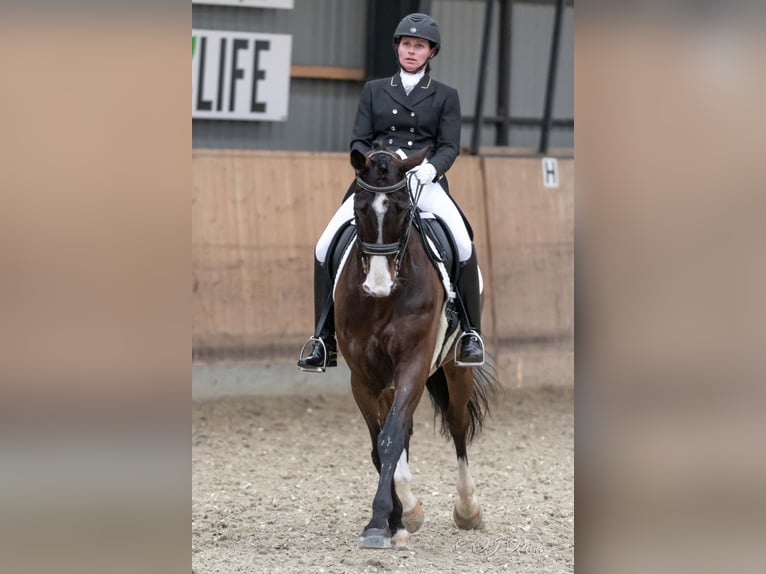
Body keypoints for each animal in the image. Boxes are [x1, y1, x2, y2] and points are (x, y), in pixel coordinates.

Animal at [336, 146, 498, 552]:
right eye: (360, 207)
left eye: (402, 208)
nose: (378, 285)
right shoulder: (363, 377)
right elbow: (381, 445)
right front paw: (394, 519)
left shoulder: (413, 361)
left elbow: (390, 438)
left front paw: (382, 521)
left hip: (455, 369)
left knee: (457, 424)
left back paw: (468, 510)